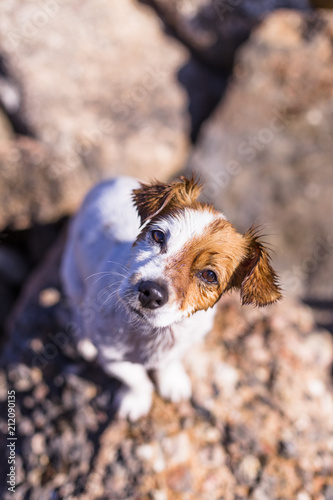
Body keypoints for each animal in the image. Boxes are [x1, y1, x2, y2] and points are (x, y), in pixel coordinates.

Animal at [60, 174, 280, 420]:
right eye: (158, 235)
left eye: (209, 275)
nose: (151, 293)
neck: (152, 332)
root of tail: (110, 180)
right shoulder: (111, 357)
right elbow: (135, 377)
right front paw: (136, 399)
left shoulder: (185, 343)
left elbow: (169, 363)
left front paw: (172, 382)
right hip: (72, 276)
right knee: (77, 309)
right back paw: (83, 342)